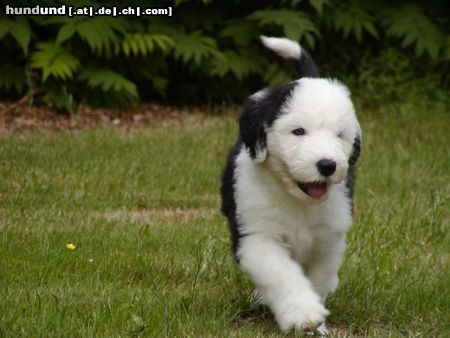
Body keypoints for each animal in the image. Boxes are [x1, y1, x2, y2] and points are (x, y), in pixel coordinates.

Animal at [221, 36, 362, 332]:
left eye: (339, 135)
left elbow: (318, 279)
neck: (298, 201)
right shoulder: (257, 235)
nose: (327, 165)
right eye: (298, 131)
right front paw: (303, 315)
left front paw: (317, 325)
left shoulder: (328, 239)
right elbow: (282, 274)